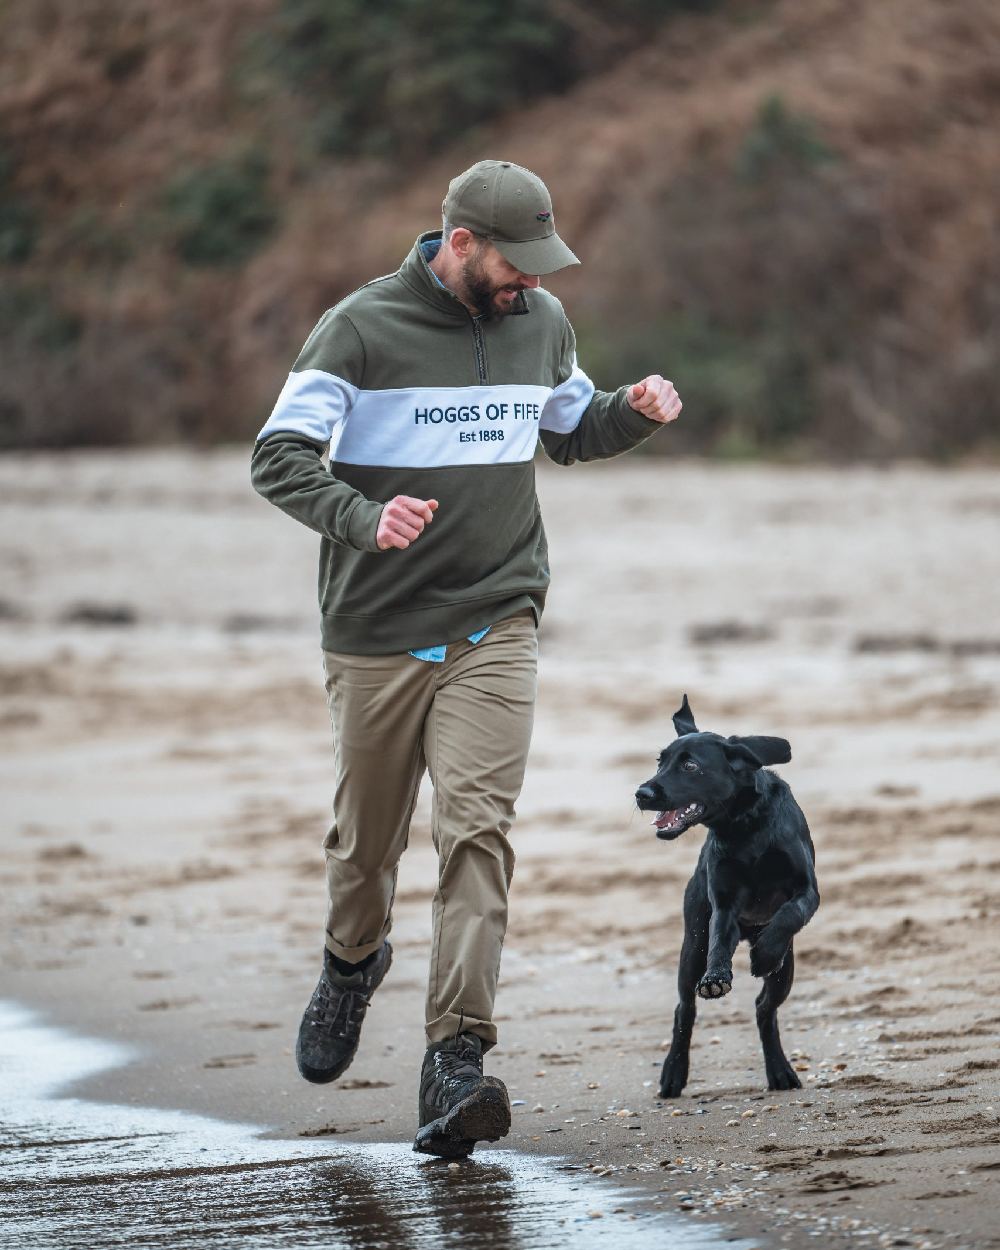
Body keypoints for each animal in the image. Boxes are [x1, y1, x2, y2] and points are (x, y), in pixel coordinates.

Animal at [632, 695, 820, 1095]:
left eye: (690, 765)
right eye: (660, 762)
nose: (642, 793)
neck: (743, 826)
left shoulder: (807, 891)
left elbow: (789, 914)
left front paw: (765, 953)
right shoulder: (723, 905)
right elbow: (720, 940)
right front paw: (716, 977)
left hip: (787, 971)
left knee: (765, 1008)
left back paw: (780, 1071)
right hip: (691, 947)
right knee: (684, 1008)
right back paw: (674, 1073)